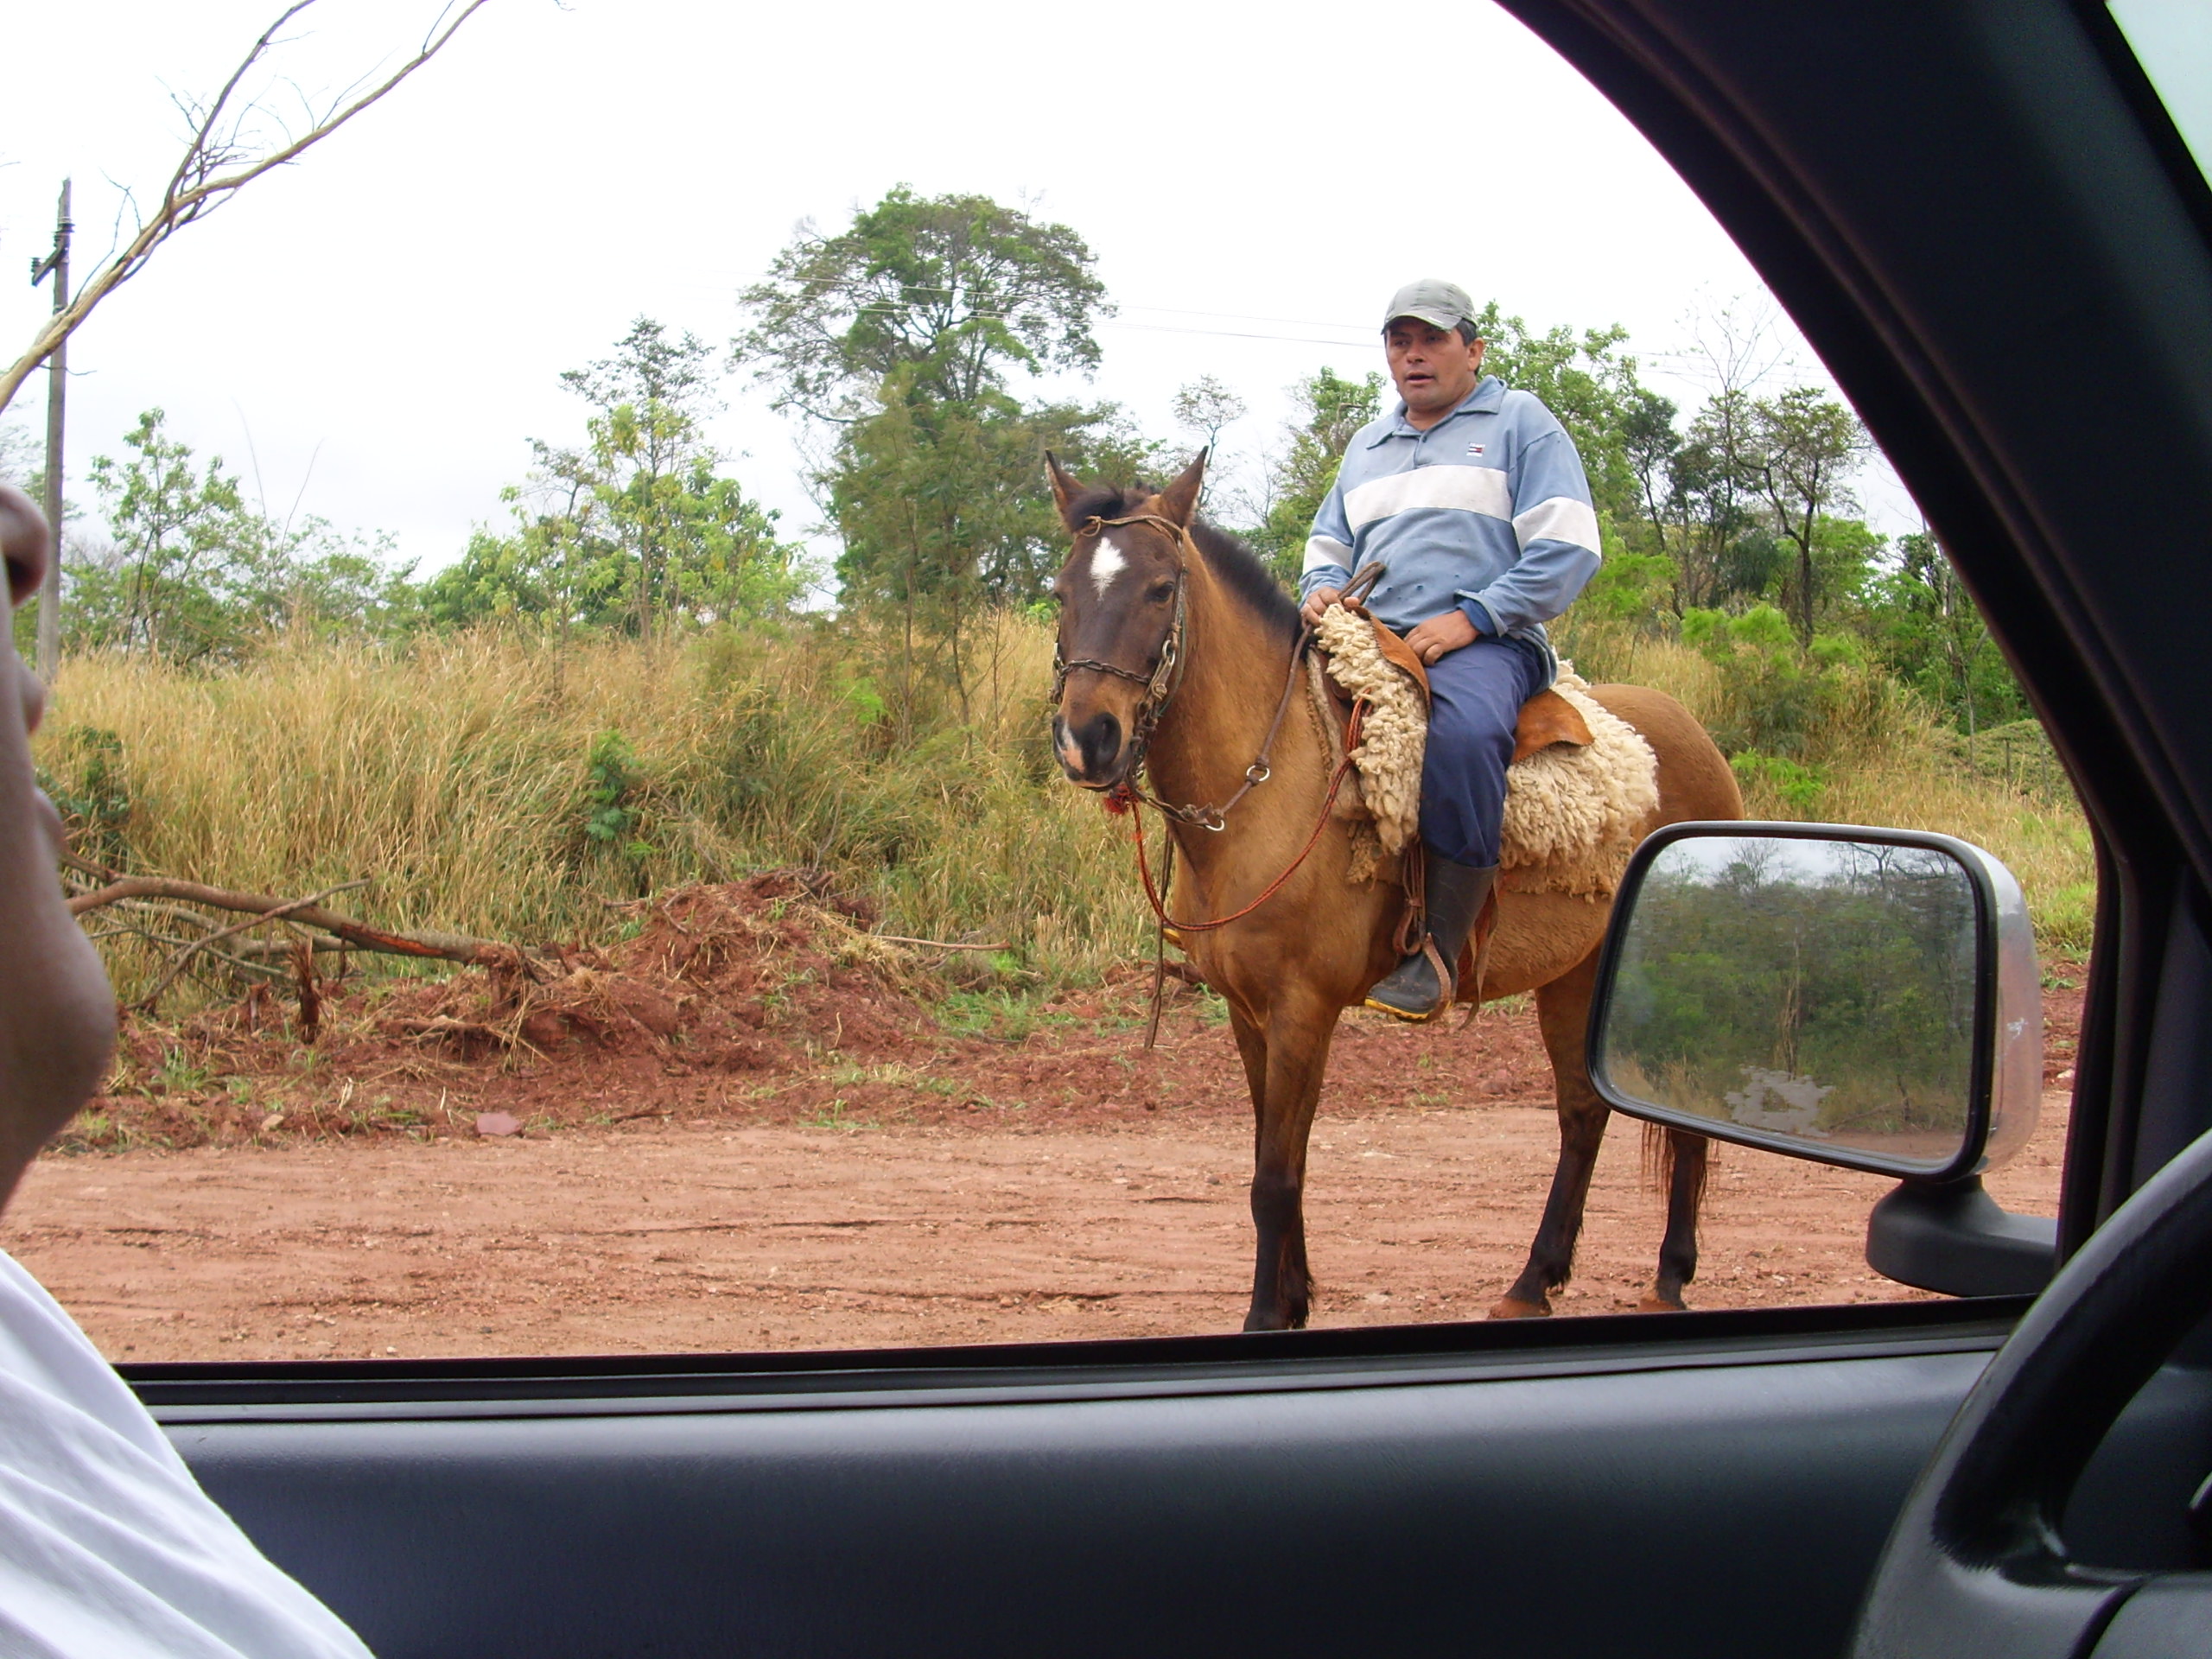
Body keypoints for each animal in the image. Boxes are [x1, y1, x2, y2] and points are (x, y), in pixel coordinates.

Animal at [1046, 450, 1745, 1332]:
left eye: (1160, 589)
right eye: (1060, 592)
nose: (1088, 738)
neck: (1276, 782)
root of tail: (1693, 736)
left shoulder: (1303, 1010)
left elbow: (1274, 1179)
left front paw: (1265, 1319)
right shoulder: (1248, 1013)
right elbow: (1279, 1163)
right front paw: (1294, 1300)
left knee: (1677, 1114)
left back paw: (1671, 1273)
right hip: (1575, 975)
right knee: (1583, 1113)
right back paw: (1533, 1282)